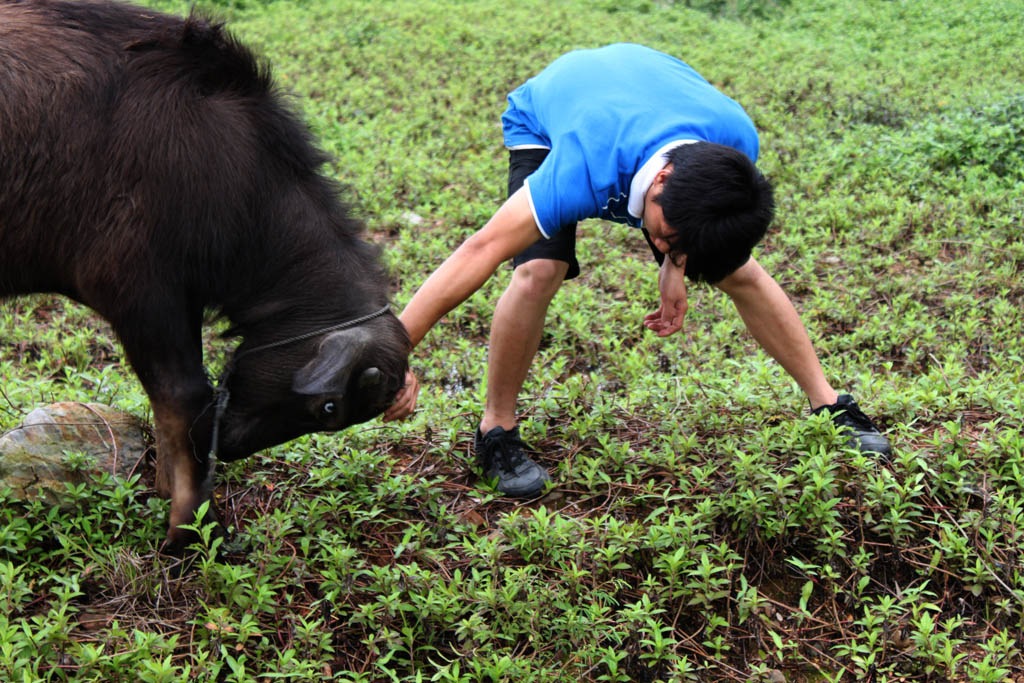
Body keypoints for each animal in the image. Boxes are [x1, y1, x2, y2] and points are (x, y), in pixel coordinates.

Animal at [0, 0, 407, 557]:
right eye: (326, 407)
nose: (230, 446)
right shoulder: (141, 295)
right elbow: (184, 399)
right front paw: (190, 529)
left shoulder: (180, 298)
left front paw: (168, 494)